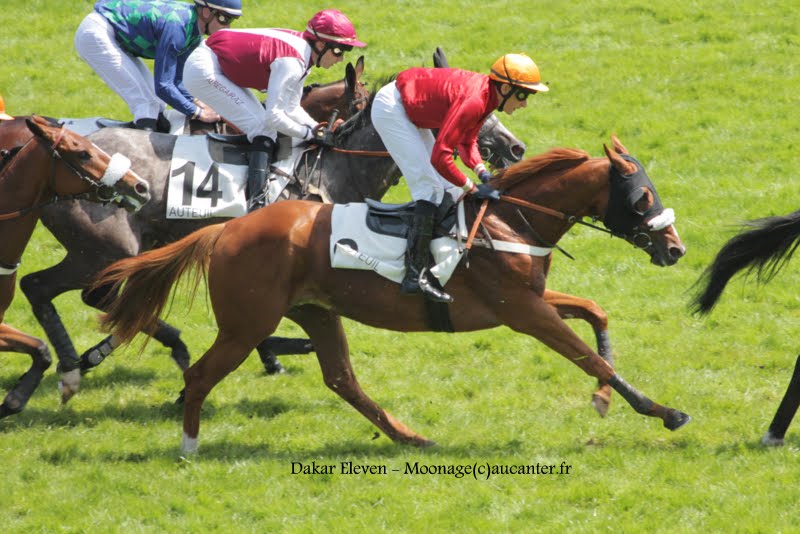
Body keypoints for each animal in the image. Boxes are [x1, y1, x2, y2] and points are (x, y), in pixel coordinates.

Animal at [92, 136, 688, 454]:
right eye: (642, 198)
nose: (675, 248)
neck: (512, 221)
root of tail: (224, 230)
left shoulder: (530, 299)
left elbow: (596, 315)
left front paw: (606, 397)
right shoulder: (521, 310)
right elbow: (586, 354)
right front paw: (661, 411)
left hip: (315, 313)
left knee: (342, 380)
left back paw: (410, 437)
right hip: (247, 325)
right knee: (199, 375)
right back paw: (189, 447)